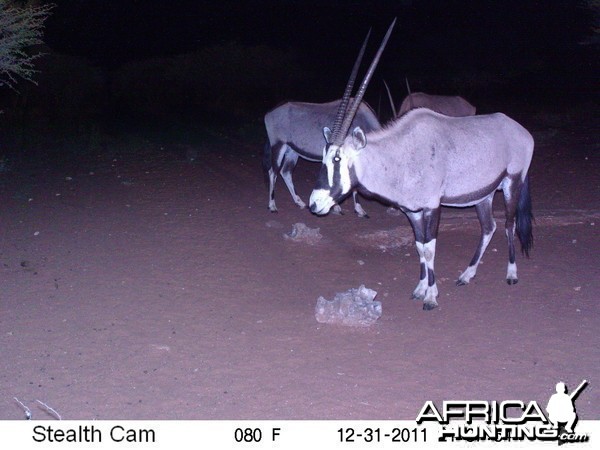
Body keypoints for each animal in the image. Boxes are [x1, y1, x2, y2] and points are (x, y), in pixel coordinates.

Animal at [310, 22, 536, 310]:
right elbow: (418, 246)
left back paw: (511, 273)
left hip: (512, 183)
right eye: (324, 157)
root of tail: (520, 130)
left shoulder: (432, 207)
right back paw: (467, 275)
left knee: (509, 224)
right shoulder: (412, 211)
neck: (399, 155)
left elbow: (429, 248)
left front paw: (431, 296)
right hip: (483, 195)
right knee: (489, 227)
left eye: (337, 159)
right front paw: (420, 289)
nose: (314, 203)